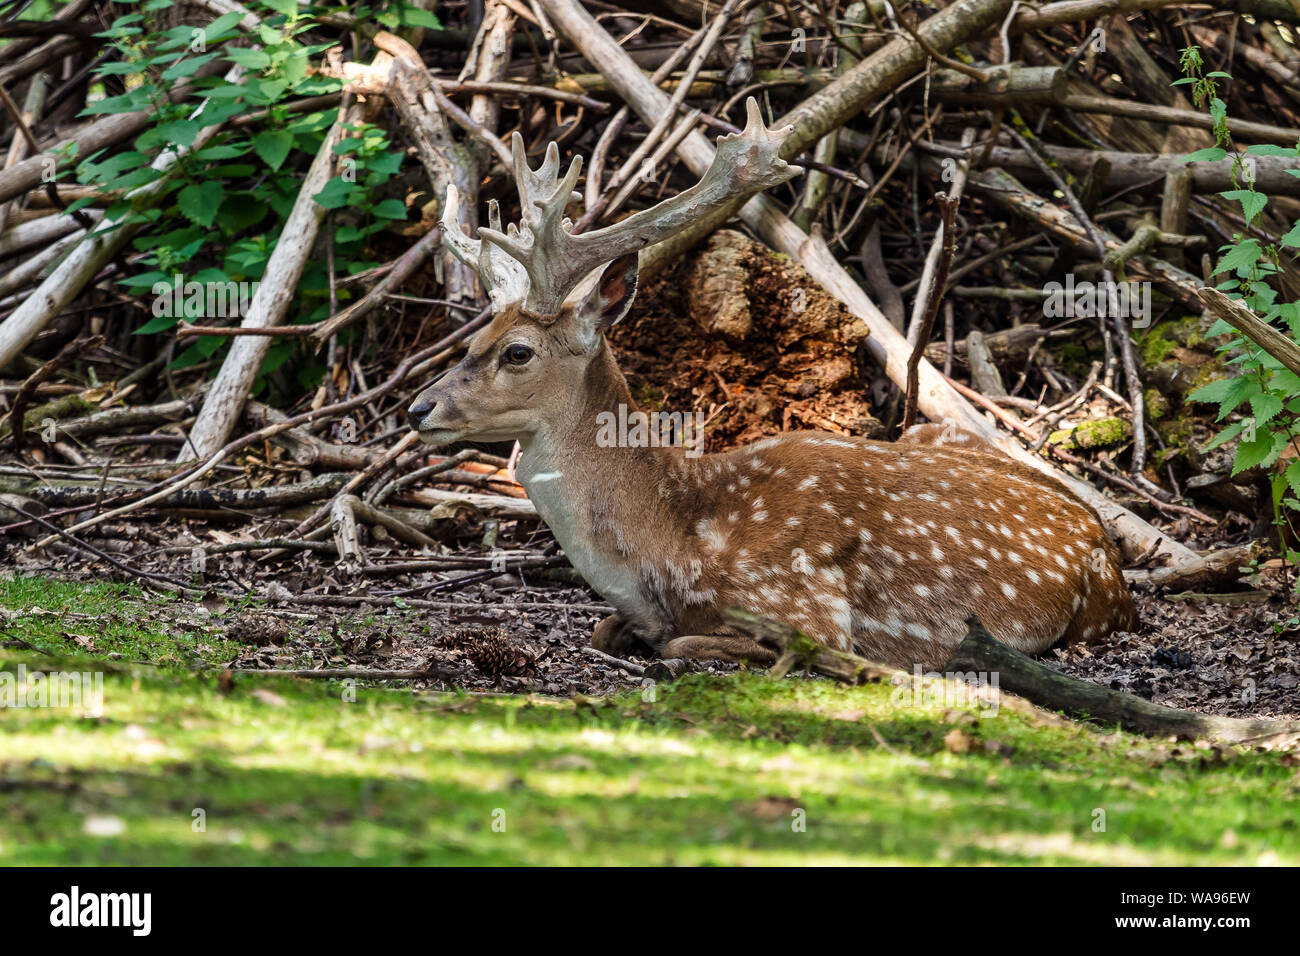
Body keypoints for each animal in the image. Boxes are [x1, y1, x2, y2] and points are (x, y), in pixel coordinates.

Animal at [408, 100, 1138, 671]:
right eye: (473, 335)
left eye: (518, 351)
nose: (418, 407)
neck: (670, 544)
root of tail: (1107, 547)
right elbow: (604, 628)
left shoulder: (805, 607)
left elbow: (687, 644)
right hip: (936, 427)